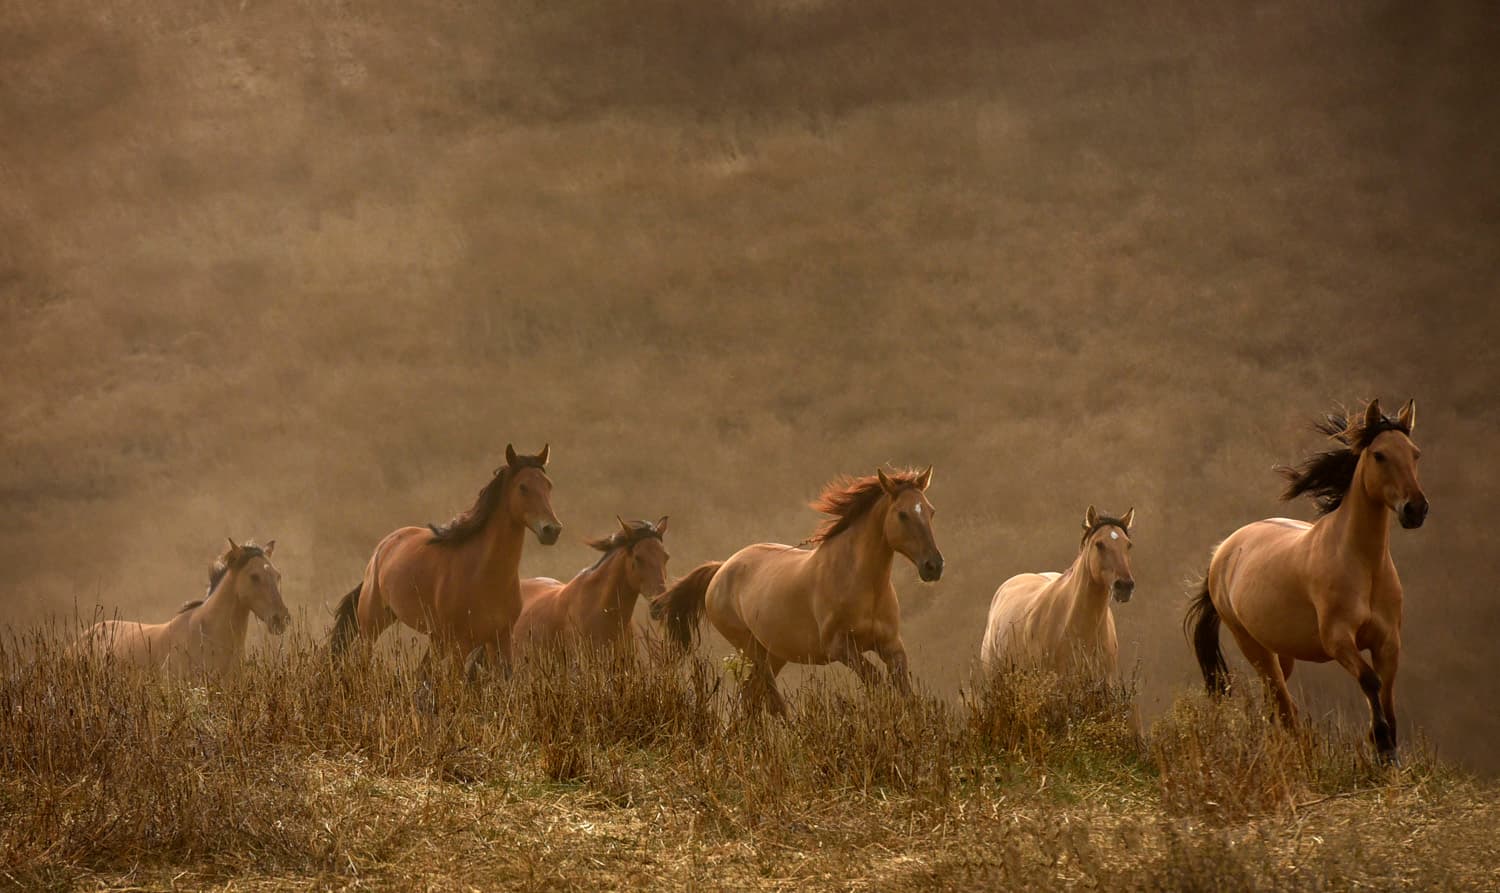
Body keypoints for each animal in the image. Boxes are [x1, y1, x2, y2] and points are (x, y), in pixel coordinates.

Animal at [328, 444, 562, 677]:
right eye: (523, 487)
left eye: (549, 485)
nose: (552, 530)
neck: (484, 574)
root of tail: (382, 548)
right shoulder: (461, 644)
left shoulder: (500, 640)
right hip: (372, 626)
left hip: (434, 638)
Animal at [651, 467, 943, 714]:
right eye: (902, 514)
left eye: (930, 511)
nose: (934, 566)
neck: (862, 584)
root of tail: (722, 568)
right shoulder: (840, 647)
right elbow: (877, 683)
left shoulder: (892, 646)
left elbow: (906, 693)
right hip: (751, 649)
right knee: (768, 698)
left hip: (775, 653)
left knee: (751, 696)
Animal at [1185, 399, 1426, 763]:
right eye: (1379, 455)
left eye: (1414, 454)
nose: (1415, 510)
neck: (1363, 566)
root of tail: (1223, 552)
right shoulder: (1338, 639)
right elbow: (1370, 681)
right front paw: (1380, 743)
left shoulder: (1388, 642)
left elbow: (1386, 693)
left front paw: (1389, 754)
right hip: (1253, 646)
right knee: (1283, 707)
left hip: (1281, 652)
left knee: (1275, 705)